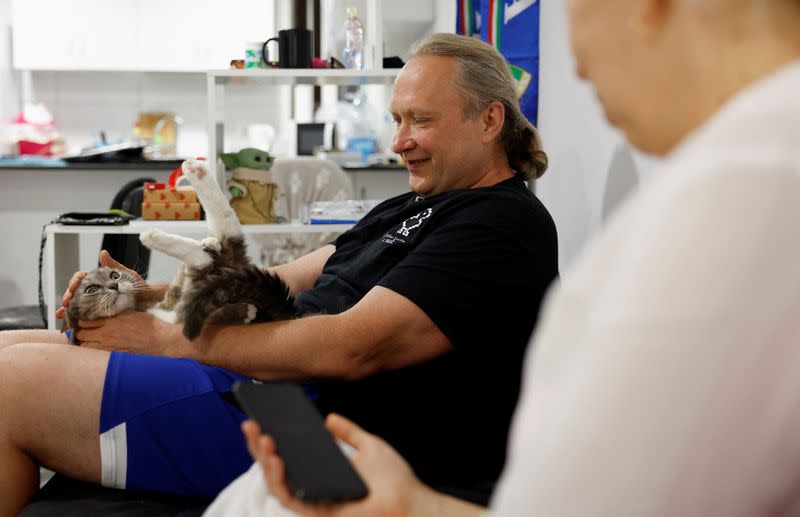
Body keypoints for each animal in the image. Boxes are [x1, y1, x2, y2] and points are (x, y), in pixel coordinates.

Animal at [65, 156, 296, 342]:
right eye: (92, 290)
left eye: (114, 275)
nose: (114, 286)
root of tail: (232, 269)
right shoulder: (177, 313)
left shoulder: (175, 295)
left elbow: (185, 271)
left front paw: (208, 243)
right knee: (213, 245)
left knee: (223, 225)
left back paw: (195, 174)